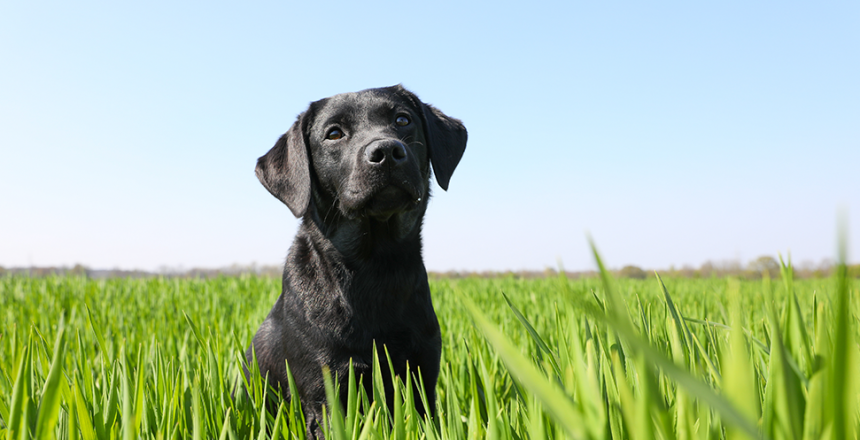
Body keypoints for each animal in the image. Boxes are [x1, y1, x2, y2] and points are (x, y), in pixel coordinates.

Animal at [245, 84, 466, 434]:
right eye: (334, 133)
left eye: (402, 119)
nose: (386, 151)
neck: (375, 267)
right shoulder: (326, 393)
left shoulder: (423, 374)